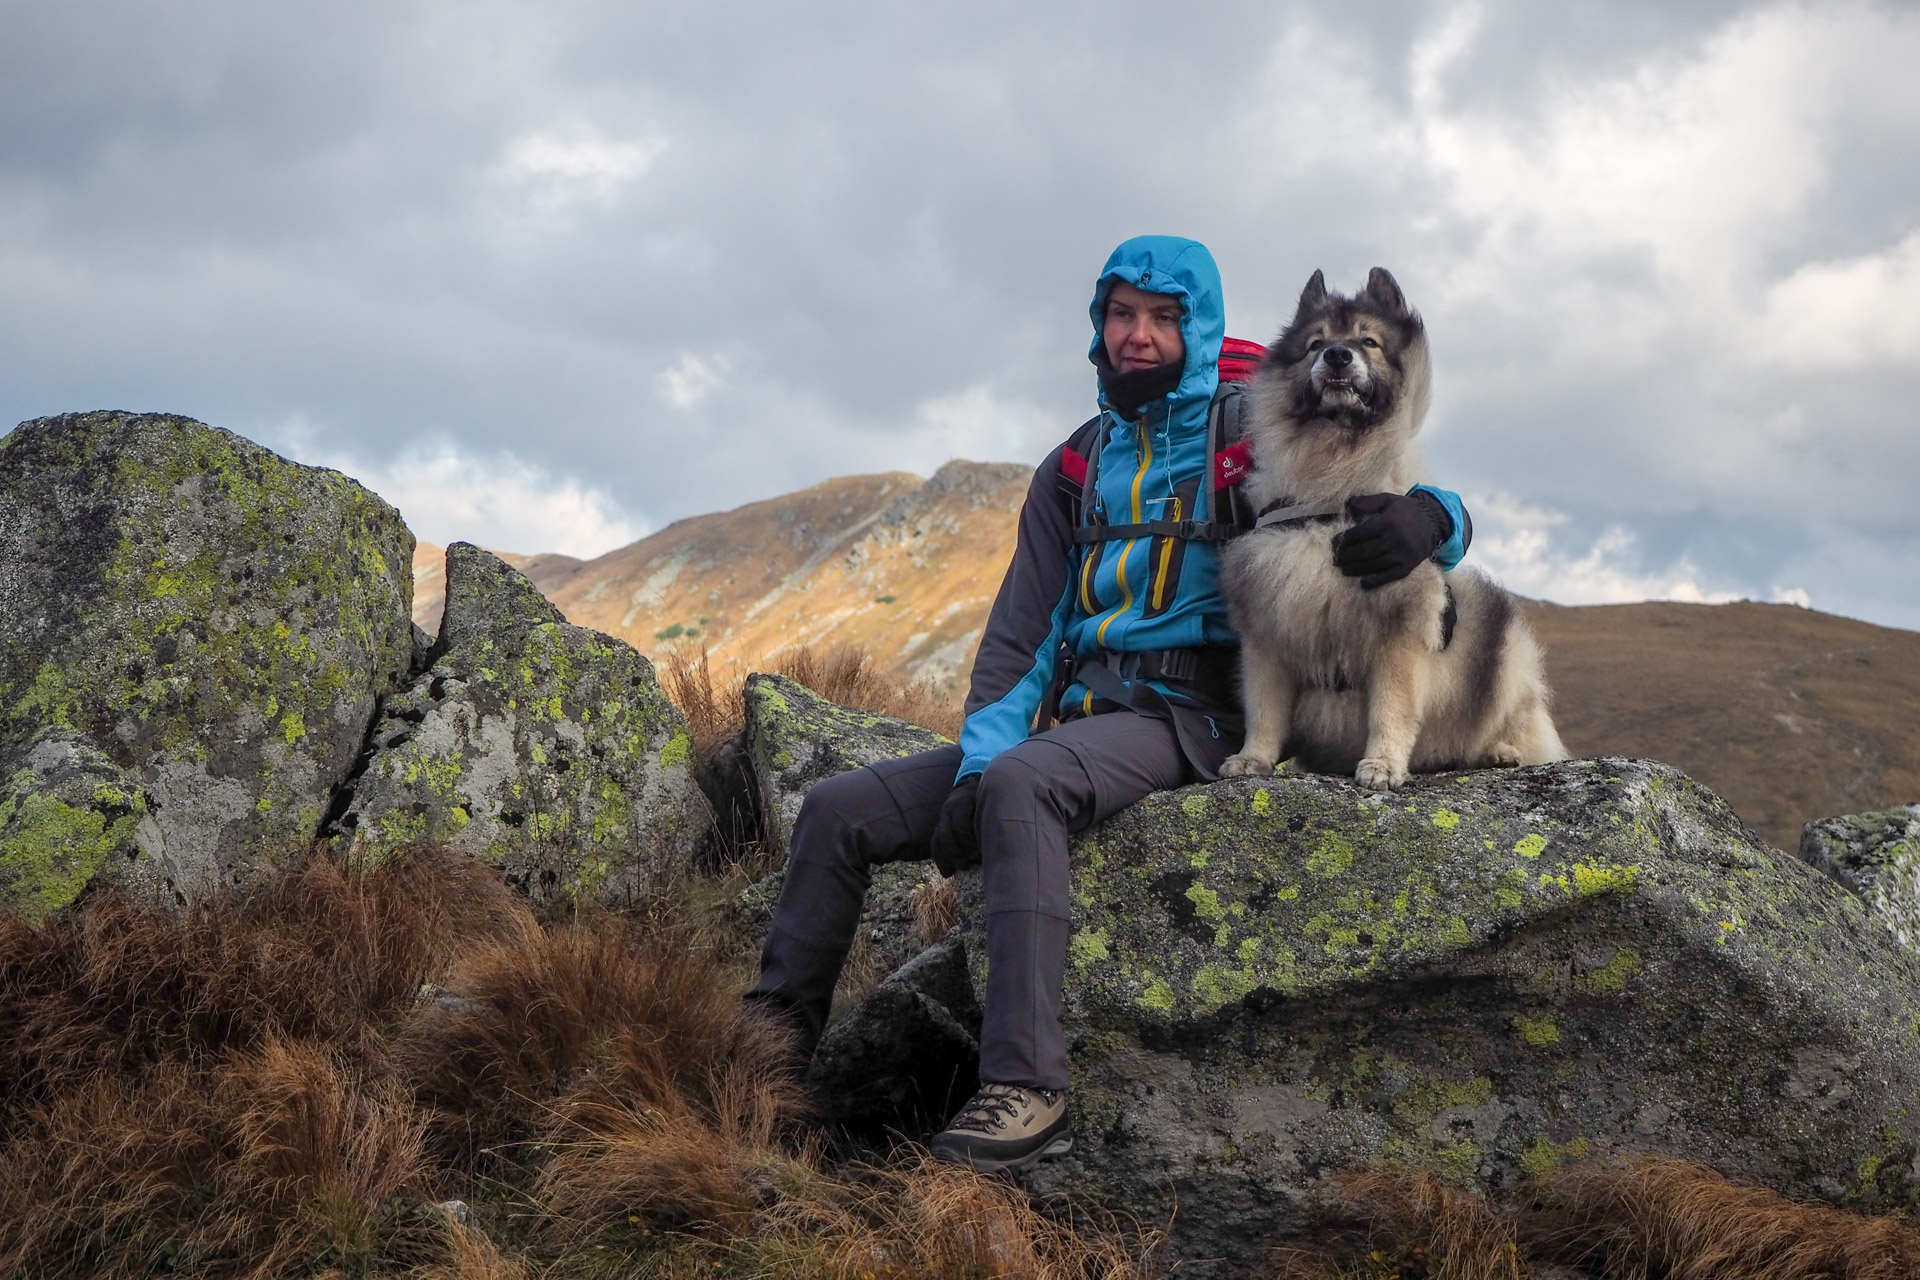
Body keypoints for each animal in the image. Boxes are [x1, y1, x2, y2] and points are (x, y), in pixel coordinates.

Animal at [1221, 268, 1566, 790]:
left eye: (1369, 341)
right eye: (1315, 343)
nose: (1337, 355)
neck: (1332, 487)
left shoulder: (1398, 638)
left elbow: (1390, 709)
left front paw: (1382, 765)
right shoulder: (1266, 634)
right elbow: (1264, 711)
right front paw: (1251, 760)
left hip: (1506, 653)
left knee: (1521, 725)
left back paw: (1500, 752)